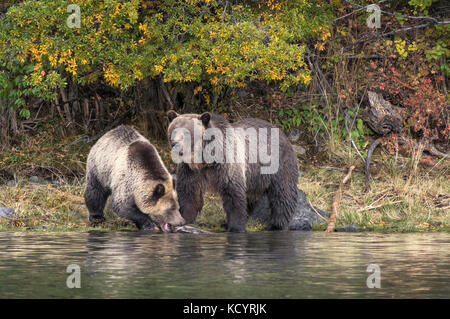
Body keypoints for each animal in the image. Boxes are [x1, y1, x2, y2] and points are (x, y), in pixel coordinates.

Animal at [167, 112, 298, 232]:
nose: (174, 144)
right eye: (173, 130)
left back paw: (277, 225)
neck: (205, 160)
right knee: (250, 199)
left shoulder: (227, 164)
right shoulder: (192, 170)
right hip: (254, 179)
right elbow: (189, 193)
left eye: (187, 133)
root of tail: (281, 133)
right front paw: (184, 219)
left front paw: (236, 227)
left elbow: (233, 194)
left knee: (282, 194)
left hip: (278, 164)